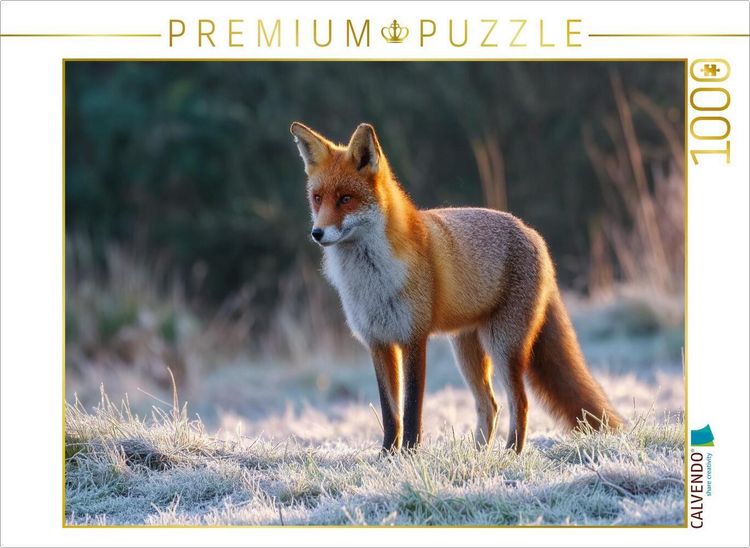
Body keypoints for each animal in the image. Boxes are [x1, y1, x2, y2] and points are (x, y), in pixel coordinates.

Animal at [290, 121, 623, 453]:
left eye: (345, 198)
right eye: (317, 198)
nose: (317, 233)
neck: (371, 282)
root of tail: (533, 234)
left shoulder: (414, 339)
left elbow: (412, 410)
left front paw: (410, 453)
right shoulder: (378, 342)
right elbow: (390, 413)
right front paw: (386, 455)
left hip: (502, 345)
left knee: (520, 402)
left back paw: (510, 454)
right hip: (466, 351)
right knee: (490, 405)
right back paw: (479, 455)